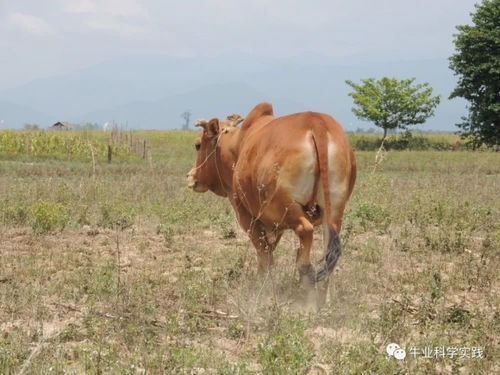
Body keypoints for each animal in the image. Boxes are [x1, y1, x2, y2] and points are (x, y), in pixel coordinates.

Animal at [187, 103, 356, 294]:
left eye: (197, 145)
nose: (191, 176)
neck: (237, 146)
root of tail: (317, 123)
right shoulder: (276, 225)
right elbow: (269, 253)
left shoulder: (247, 216)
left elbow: (264, 255)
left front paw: (261, 284)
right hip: (333, 213)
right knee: (328, 255)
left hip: (287, 206)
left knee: (305, 233)